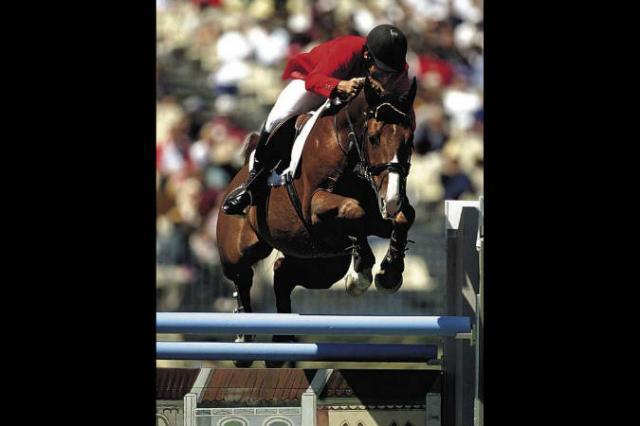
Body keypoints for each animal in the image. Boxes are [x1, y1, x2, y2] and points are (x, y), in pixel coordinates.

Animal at [216, 76, 417, 367]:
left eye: (409, 141)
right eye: (374, 138)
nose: (390, 199)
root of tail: (238, 175)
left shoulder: (379, 218)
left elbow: (402, 217)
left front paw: (389, 272)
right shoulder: (314, 206)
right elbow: (354, 209)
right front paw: (361, 270)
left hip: (321, 267)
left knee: (282, 273)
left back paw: (281, 341)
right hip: (237, 251)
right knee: (243, 277)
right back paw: (244, 339)